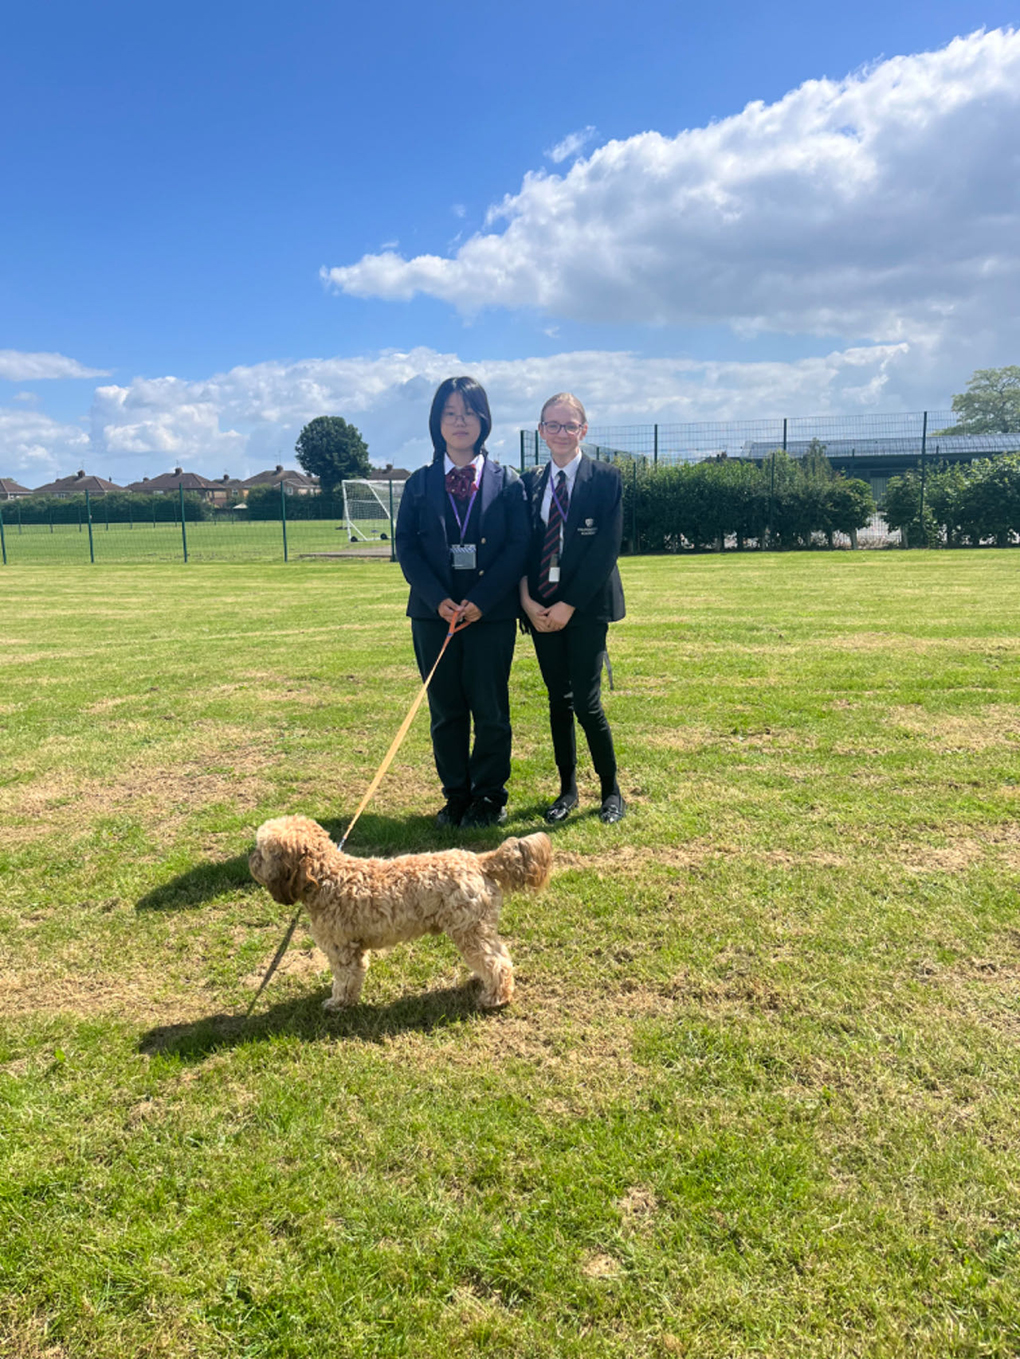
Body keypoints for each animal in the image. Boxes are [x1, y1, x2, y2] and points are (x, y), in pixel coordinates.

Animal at [249, 815, 551, 1009]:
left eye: (262, 852)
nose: (250, 858)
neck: (327, 877)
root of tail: (480, 861)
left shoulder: (342, 949)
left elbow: (345, 979)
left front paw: (337, 1003)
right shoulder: (355, 948)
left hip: (469, 931)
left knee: (497, 962)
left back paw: (495, 998)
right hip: (475, 929)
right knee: (498, 956)